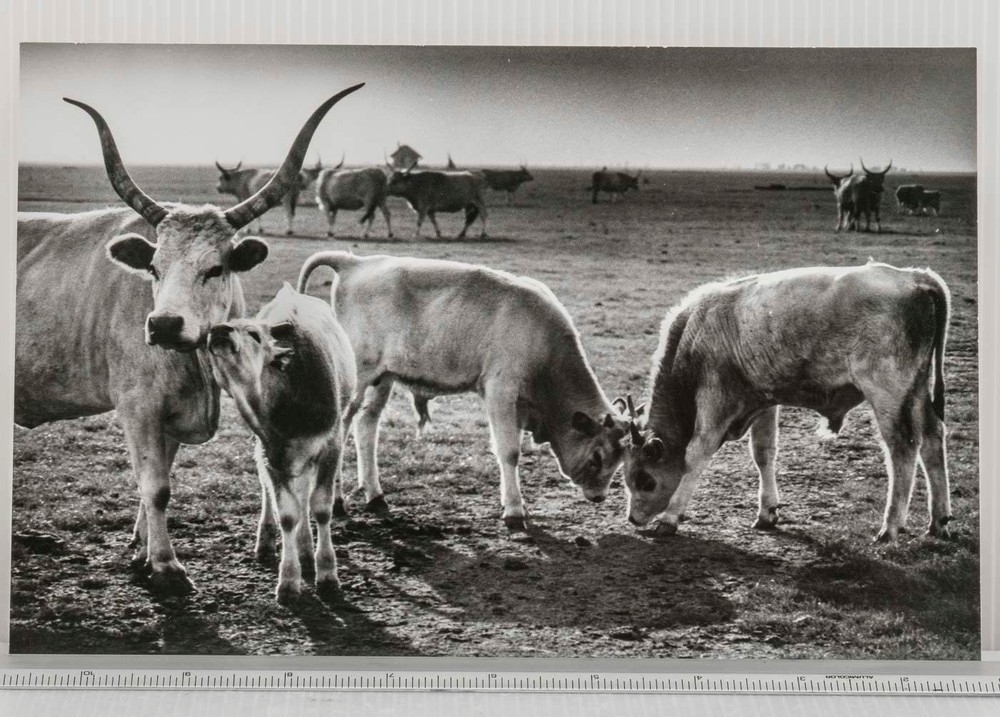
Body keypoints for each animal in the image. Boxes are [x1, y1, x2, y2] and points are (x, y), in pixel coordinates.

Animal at [207, 284, 356, 604]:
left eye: (254, 333)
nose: (219, 330)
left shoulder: (331, 445)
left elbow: (321, 507)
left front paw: (328, 574)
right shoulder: (271, 453)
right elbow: (287, 513)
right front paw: (288, 581)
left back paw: (307, 552)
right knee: (276, 496)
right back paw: (273, 543)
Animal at [296, 251, 630, 531]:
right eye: (598, 456)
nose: (599, 497)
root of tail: (356, 262)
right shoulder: (500, 390)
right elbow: (509, 451)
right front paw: (514, 511)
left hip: (383, 377)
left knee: (366, 426)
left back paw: (375, 495)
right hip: (359, 377)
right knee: (341, 429)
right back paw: (337, 503)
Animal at [620, 262, 951, 543]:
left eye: (645, 480)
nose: (633, 519)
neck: (697, 328)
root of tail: (915, 277)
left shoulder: (716, 401)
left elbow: (696, 454)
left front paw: (670, 518)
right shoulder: (763, 401)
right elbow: (763, 453)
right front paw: (767, 513)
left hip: (888, 394)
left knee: (903, 448)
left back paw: (890, 527)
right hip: (917, 391)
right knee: (933, 439)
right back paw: (938, 521)